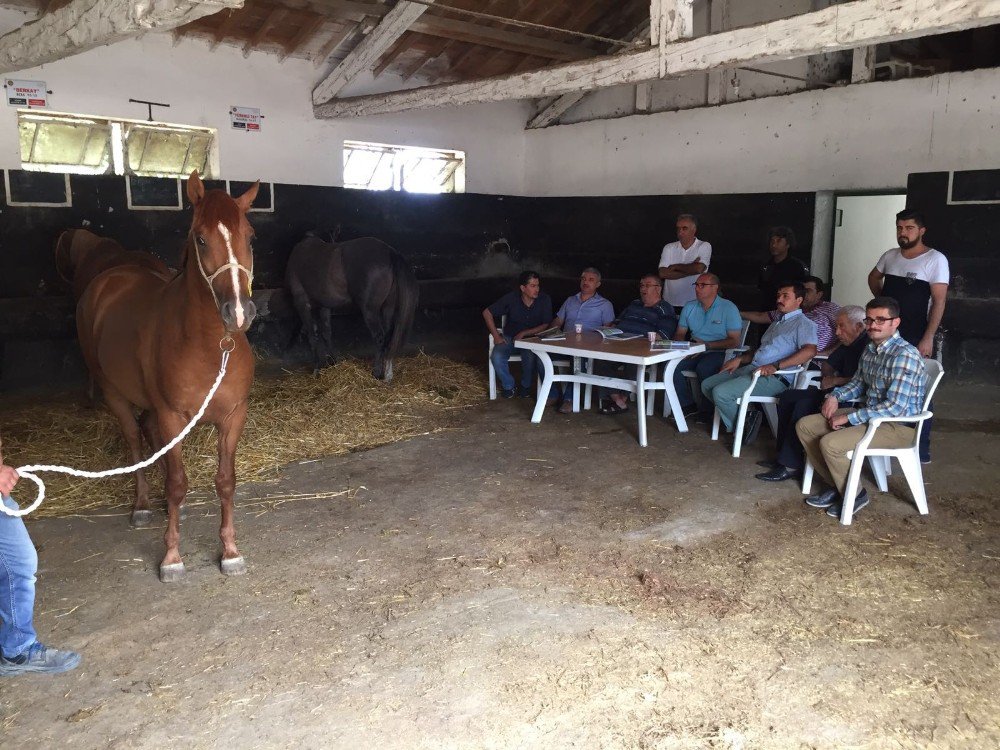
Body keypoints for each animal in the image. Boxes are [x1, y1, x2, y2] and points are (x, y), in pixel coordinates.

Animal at [76, 173, 260, 584]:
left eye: (250, 236)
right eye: (201, 238)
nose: (238, 312)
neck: (211, 344)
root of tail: (108, 279)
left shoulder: (233, 416)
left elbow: (225, 481)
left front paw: (230, 551)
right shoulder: (172, 416)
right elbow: (177, 483)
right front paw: (172, 557)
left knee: (148, 432)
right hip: (116, 394)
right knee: (135, 439)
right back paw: (143, 504)